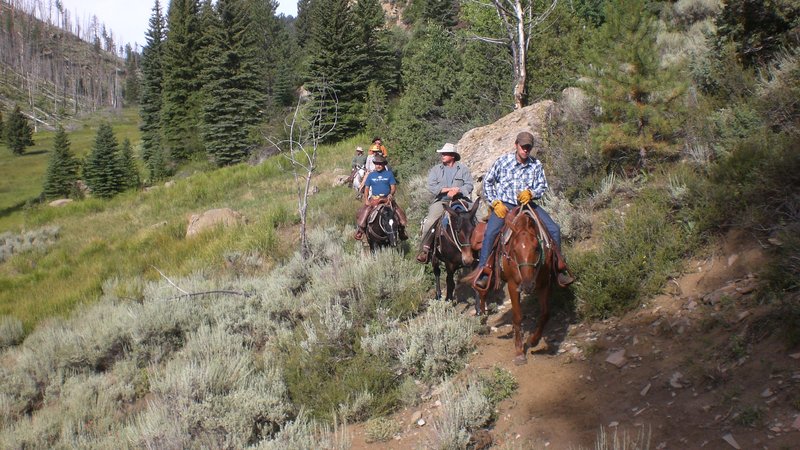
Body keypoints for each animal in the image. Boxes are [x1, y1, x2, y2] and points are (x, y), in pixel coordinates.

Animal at [478, 204, 552, 366]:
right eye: (514, 250)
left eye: (536, 248)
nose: (528, 285)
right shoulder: (513, 285)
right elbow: (517, 316)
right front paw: (519, 352)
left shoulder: (544, 283)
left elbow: (545, 313)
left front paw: (533, 340)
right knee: (481, 293)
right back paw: (482, 321)